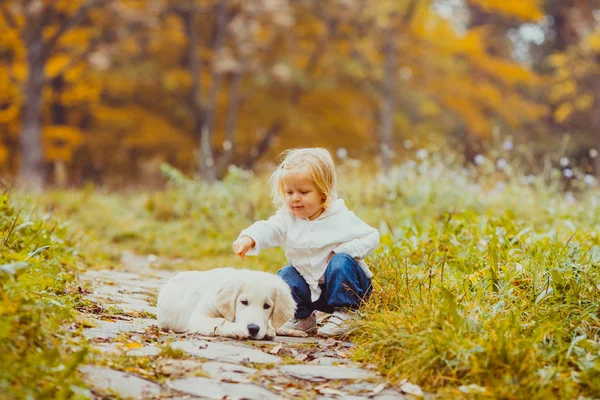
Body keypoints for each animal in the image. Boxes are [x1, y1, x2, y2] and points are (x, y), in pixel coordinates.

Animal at [156, 268, 294, 340]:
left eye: (267, 306)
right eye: (244, 302)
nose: (253, 329)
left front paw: (269, 329)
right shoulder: (197, 317)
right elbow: (220, 320)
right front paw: (235, 328)